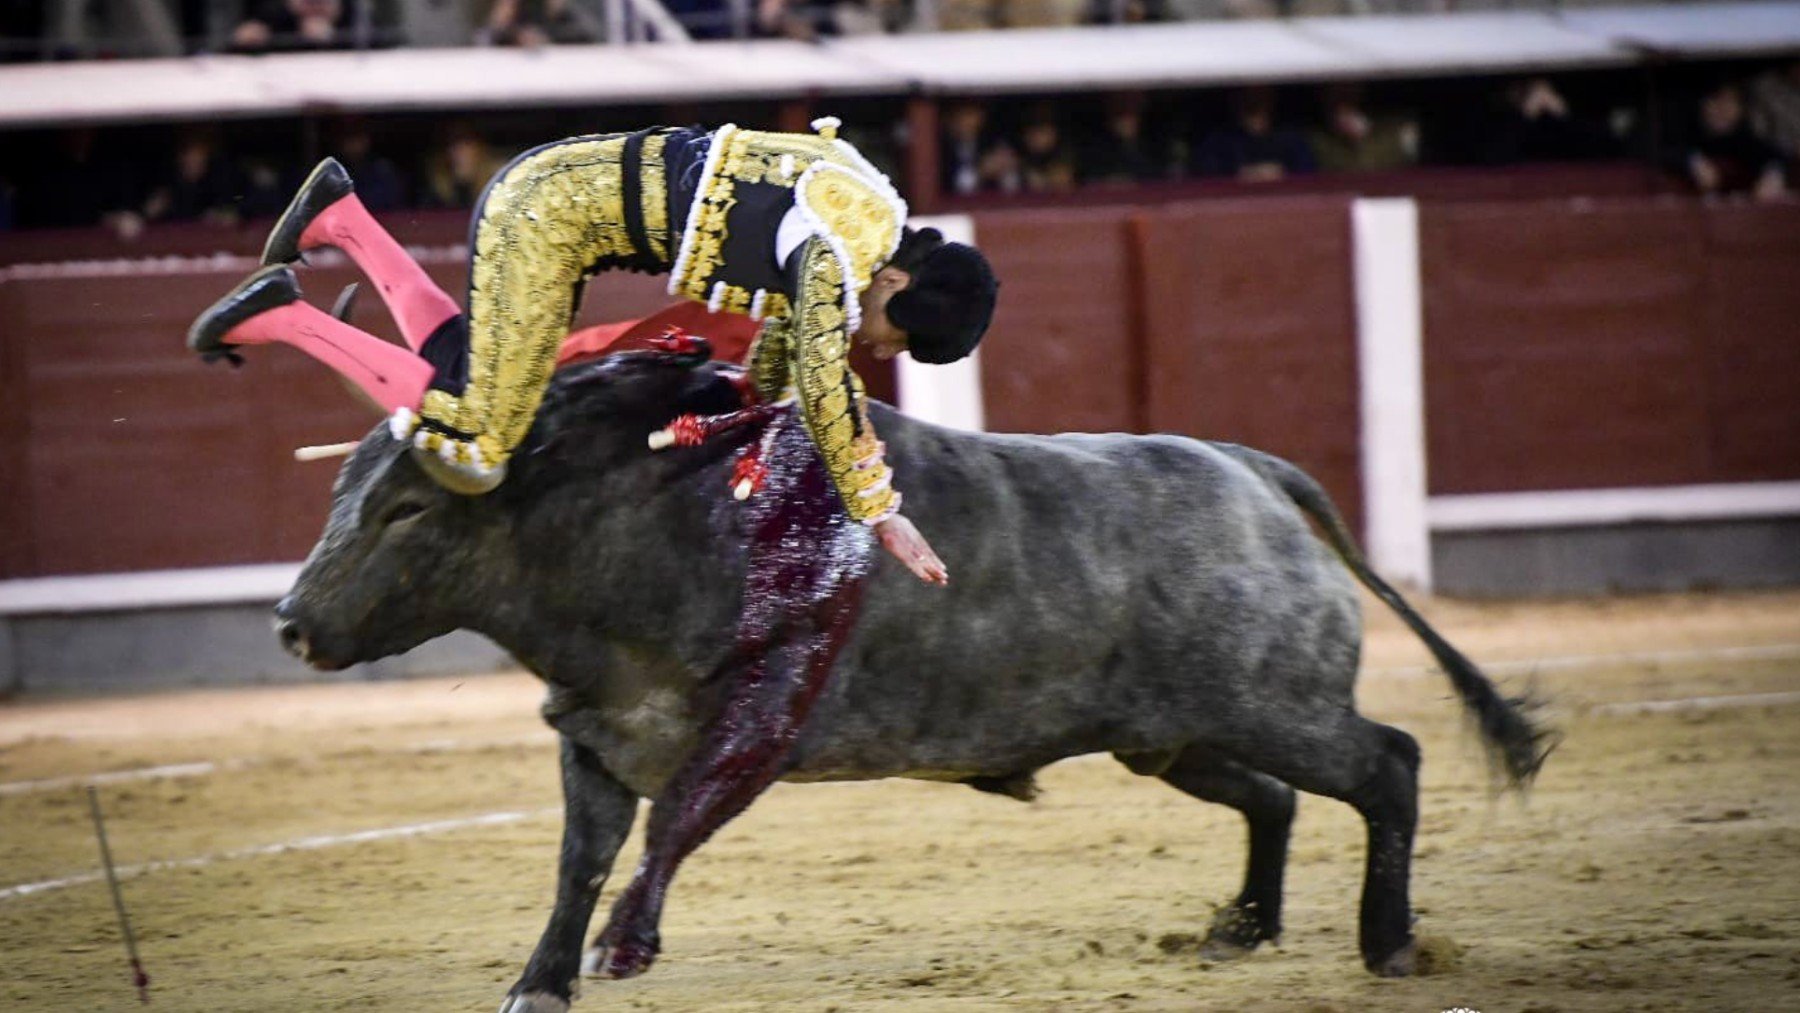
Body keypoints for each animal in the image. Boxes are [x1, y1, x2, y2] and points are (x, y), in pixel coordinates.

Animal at [273, 349, 1555, 1013]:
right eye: (341, 495)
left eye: (406, 508)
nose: (290, 621)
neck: (634, 519)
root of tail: (1251, 472)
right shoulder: (593, 737)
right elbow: (579, 861)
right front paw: (539, 982)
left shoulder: (741, 729)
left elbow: (663, 833)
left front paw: (617, 951)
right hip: (1173, 734)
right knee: (1275, 799)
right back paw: (1238, 929)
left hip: (1275, 706)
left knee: (1386, 763)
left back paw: (1390, 944)